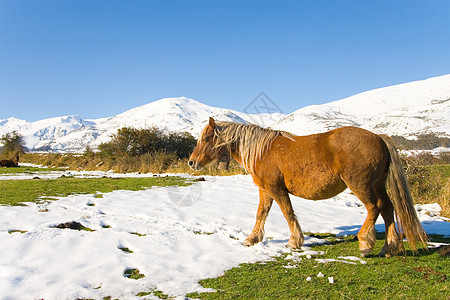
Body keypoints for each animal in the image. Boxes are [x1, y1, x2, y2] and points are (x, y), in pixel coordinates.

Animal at [189, 118, 428, 256]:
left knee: (374, 207)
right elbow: (261, 214)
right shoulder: (265, 190)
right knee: (387, 208)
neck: (263, 150)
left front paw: (295, 241)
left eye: (206, 138)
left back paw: (366, 244)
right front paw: (252, 239)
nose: (192, 162)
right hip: (377, 185)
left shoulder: (277, 190)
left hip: (361, 185)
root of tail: (378, 137)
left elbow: (287, 213)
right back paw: (389, 247)